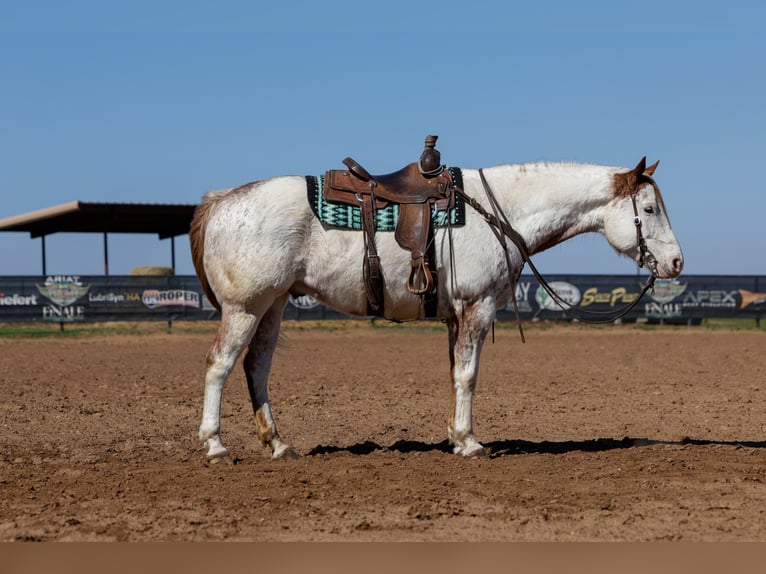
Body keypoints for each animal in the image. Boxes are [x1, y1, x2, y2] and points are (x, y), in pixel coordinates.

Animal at [190, 157, 683, 462]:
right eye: (648, 209)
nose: (677, 262)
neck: (502, 212)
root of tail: (221, 201)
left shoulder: (455, 317)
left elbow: (454, 374)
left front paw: (454, 437)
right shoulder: (478, 308)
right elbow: (468, 375)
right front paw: (470, 443)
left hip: (272, 306)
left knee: (256, 368)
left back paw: (277, 444)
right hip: (245, 307)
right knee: (219, 365)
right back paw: (215, 447)